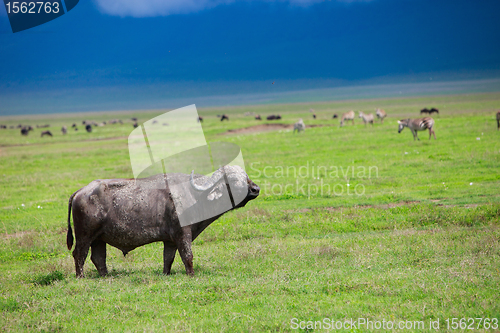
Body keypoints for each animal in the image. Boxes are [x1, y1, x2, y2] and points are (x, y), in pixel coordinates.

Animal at [66, 165, 260, 276]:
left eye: (246, 177)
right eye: (233, 180)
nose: (255, 189)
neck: (195, 195)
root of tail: (80, 192)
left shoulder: (170, 241)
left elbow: (169, 259)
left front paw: (166, 273)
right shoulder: (183, 234)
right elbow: (187, 256)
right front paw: (191, 274)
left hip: (98, 239)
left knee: (98, 258)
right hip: (85, 236)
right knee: (79, 255)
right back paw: (80, 276)